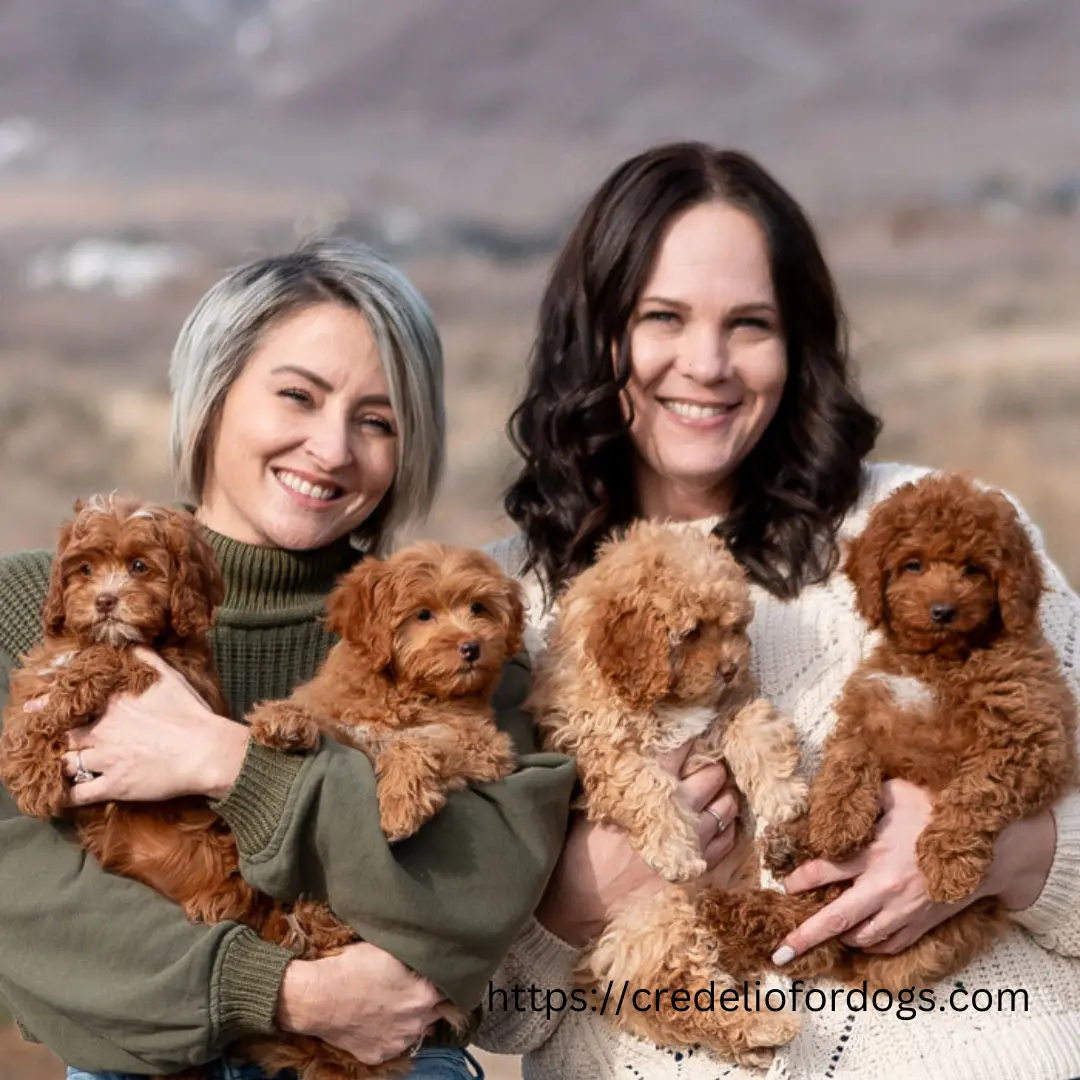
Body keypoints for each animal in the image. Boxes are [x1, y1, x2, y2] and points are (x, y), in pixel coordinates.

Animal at [531, 520, 812, 1062]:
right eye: (691, 631)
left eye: (733, 627)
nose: (731, 668)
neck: (663, 701)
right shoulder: (599, 751)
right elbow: (645, 782)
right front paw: (676, 851)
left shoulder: (723, 713)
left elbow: (753, 726)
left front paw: (783, 793)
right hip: (657, 922)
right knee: (684, 997)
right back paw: (765, 1027)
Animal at [699, 473, 1080, 993]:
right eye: (912, 565)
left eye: (975, 569)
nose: (943, 610)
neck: (938, 660)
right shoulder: (870, 711)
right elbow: (847, 762)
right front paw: (838, 823)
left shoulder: (1027, 736)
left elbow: (974, 791)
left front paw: (948, 864)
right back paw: (788, 849)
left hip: (925, 944)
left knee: (811, 943)